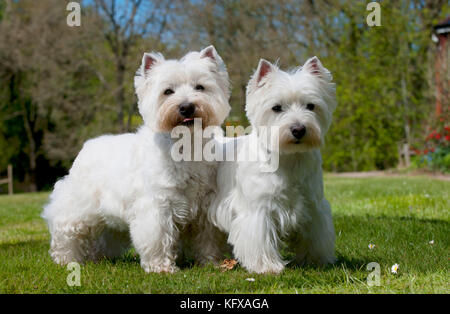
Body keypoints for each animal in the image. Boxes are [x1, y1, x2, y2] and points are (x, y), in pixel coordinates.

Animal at [41, 45, 230, 274]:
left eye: (200, 87)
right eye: (168, 91)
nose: (186, 107)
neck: (186, 145)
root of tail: (87, 146)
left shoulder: (204, 206)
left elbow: (207, 238)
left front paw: (210, 262)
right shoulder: (156, 206)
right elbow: (158, 237)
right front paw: (161, 268)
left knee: (104, 235)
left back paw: (97, 258)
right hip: (78, 207)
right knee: (66, 229)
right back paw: (66, 259)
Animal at [209, 57, 336, 274]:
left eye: (311, 106)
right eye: (276, 108)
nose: (298, 129)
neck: (289, 159)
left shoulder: (313, 205)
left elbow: (315, 234)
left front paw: (316, 259)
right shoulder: (258, 209)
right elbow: (260, 239)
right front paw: (267, 267)